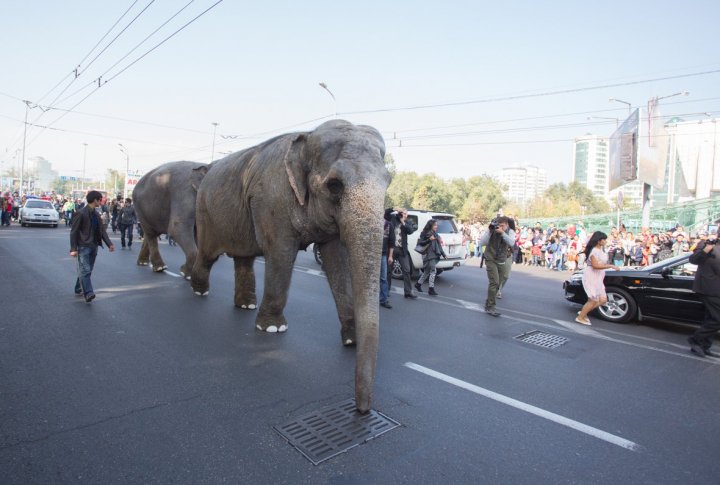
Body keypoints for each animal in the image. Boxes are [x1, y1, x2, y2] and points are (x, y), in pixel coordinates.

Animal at [191, 119, 390, 410]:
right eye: (335, 185)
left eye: (389, 181)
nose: (362, 410)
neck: (307, 137)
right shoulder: (272, 199)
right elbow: (282, 252)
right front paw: (273, 329)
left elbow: (337, 261)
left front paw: (351, 339)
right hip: (205, 214)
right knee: (207, 255)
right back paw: (199, 291)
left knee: (243, 257)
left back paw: (246, 305)